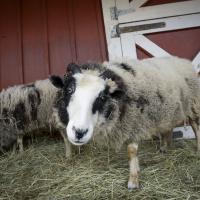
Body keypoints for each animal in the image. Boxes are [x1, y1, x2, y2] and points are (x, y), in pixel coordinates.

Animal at [49, 56, 200, 189]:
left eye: (102, 97)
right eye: (69, 90)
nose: (79, 132)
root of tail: (183, 61)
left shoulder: (134, 122)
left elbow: (131, 151)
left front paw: (133, 180)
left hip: (192, 104)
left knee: (195, 126)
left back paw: (197, 150)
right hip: (167, 108)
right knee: (167, 127)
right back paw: (163, 147)